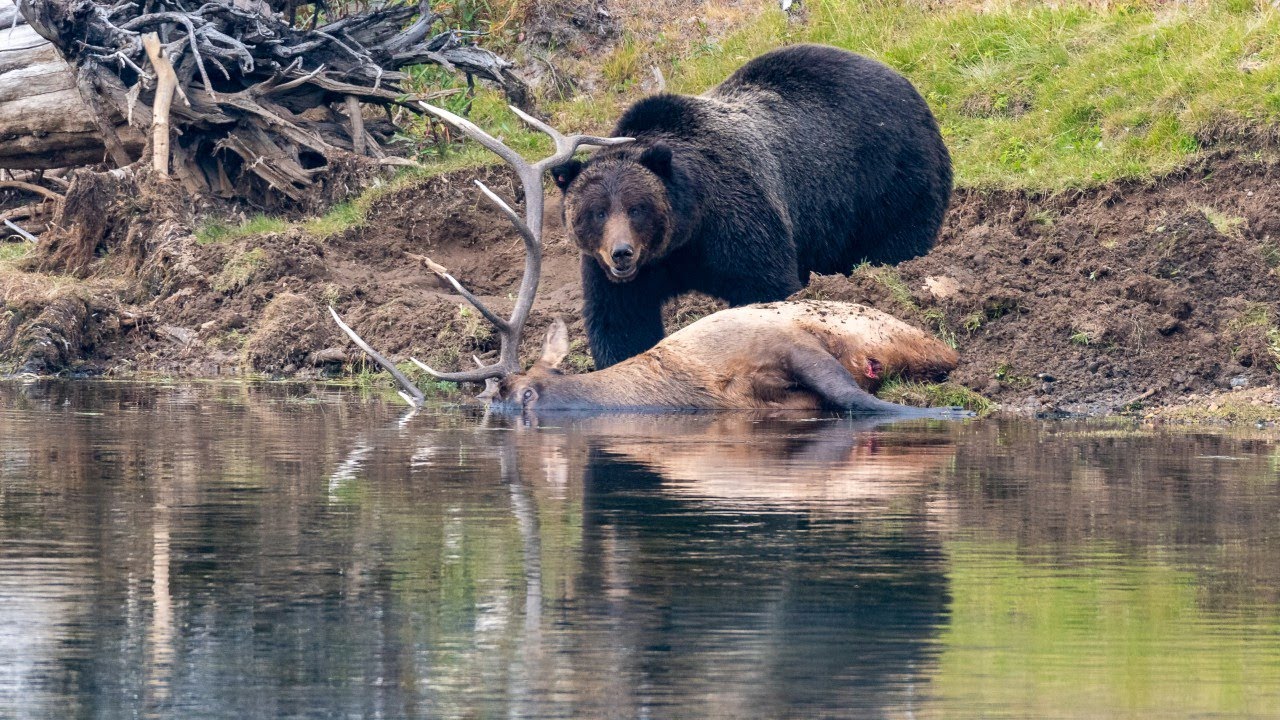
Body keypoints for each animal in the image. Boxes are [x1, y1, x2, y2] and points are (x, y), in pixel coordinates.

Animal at [550, 44, 952, 366]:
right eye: (596, 212)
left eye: (638, 207)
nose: (622, 253)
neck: (685, 234)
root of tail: (902, 80)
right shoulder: (613, 272)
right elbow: (621, 323)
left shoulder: (736, 221)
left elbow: (765, 284)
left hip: (887, 178)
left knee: (897, 238)